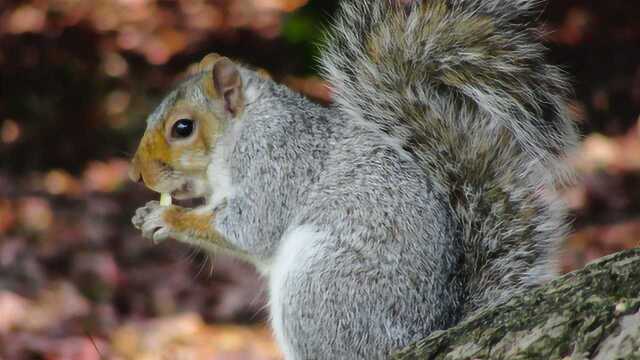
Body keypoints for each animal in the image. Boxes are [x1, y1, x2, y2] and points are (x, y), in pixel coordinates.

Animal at [127, 1, 576, 358]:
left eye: (182, 128)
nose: (136, 173)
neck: (242, 130)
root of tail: (428, 328)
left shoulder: (276, 163)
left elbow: (250, 229)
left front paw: (164, 218)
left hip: (320, 286)